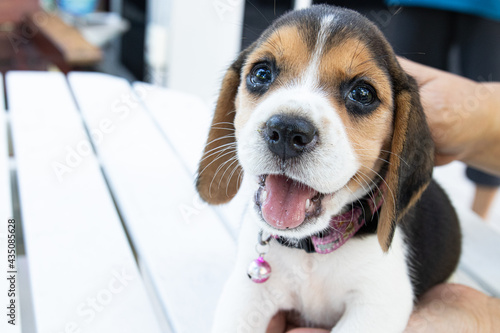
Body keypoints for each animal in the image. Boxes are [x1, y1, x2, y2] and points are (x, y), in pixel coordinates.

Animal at [198, 5, 460, 332]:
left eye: (362, 93)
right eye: (261, 73)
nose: (287, 131)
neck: (312, 251)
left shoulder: (378, 305)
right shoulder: (246, 294)